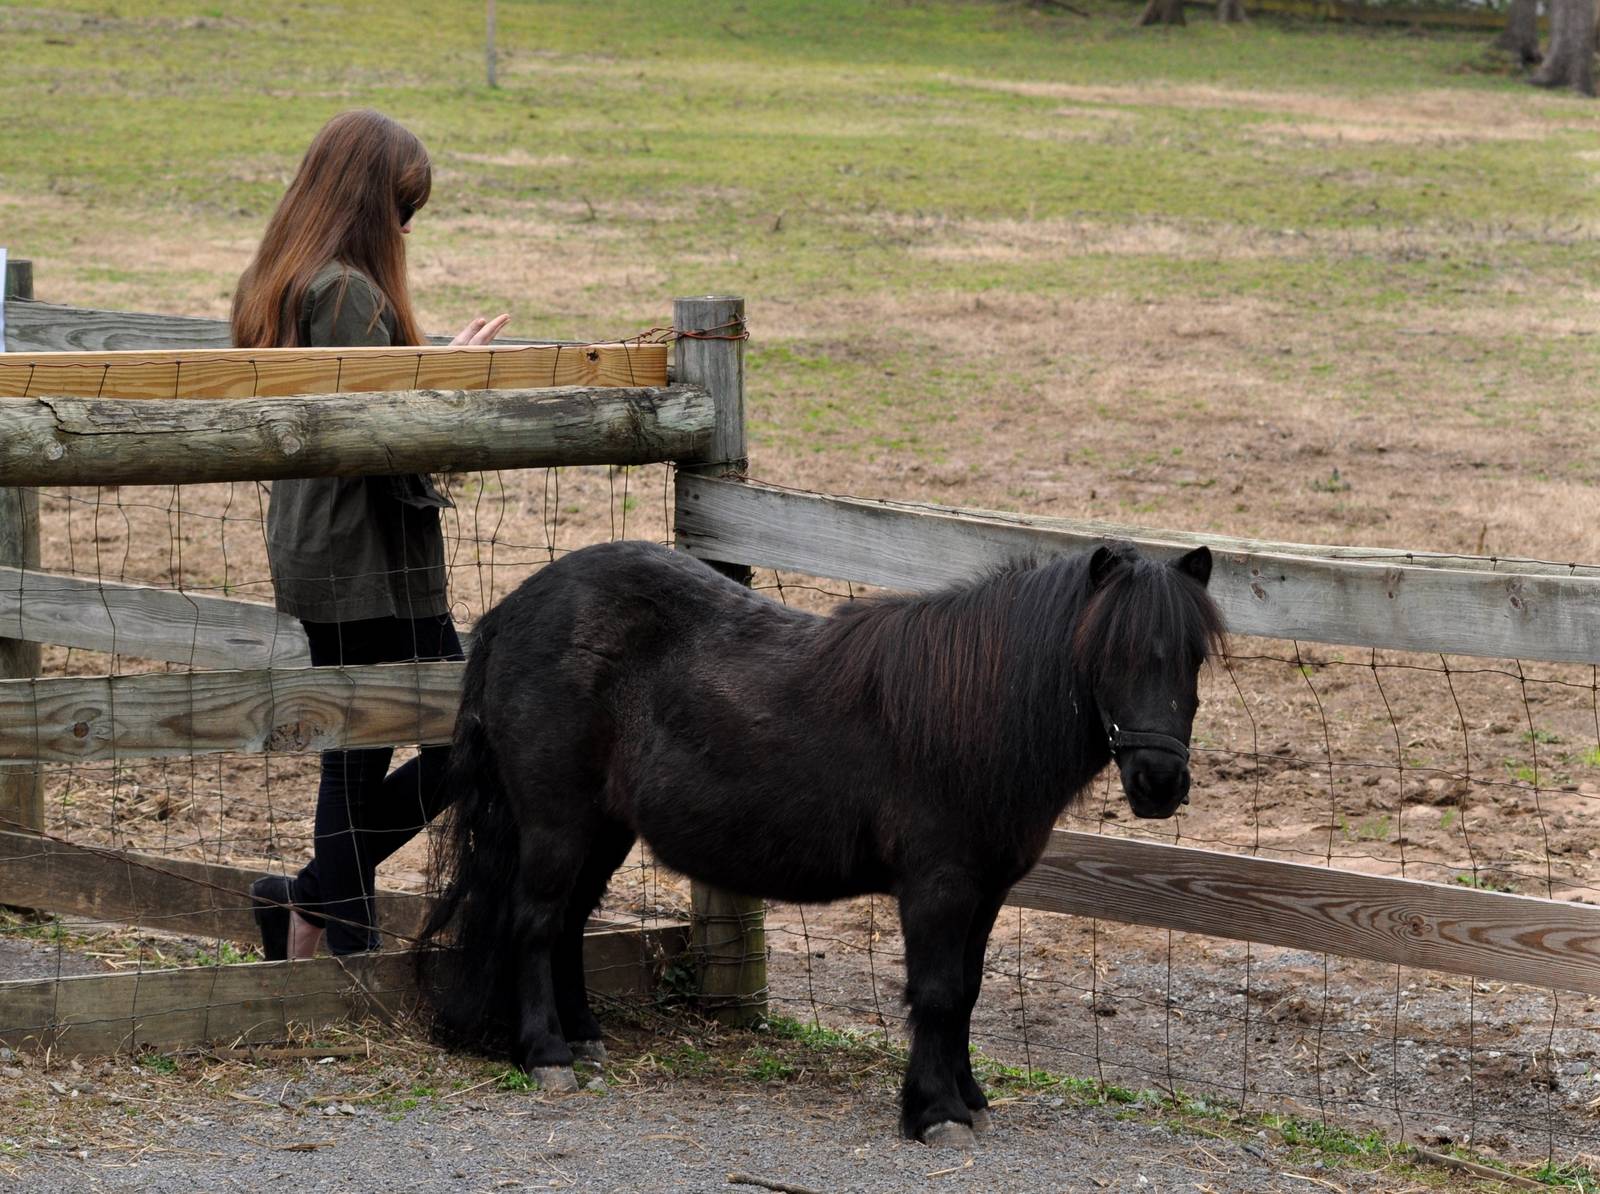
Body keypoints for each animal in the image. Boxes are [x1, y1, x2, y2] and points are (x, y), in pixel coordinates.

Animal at [419, 537, 1223, 1147]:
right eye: (1112, 652)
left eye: (1192, 657)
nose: (1160, 782)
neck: (974, 713)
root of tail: (515, 609)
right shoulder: (937, 886)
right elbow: (937, 991)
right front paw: (934, 1111)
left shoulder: (987, 891)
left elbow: (966, 991)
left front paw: (968, 1096)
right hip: (555, 821)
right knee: (535, 922)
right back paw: (547, 1054)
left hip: (605, 827)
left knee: (569, 923)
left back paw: (584, 1037)